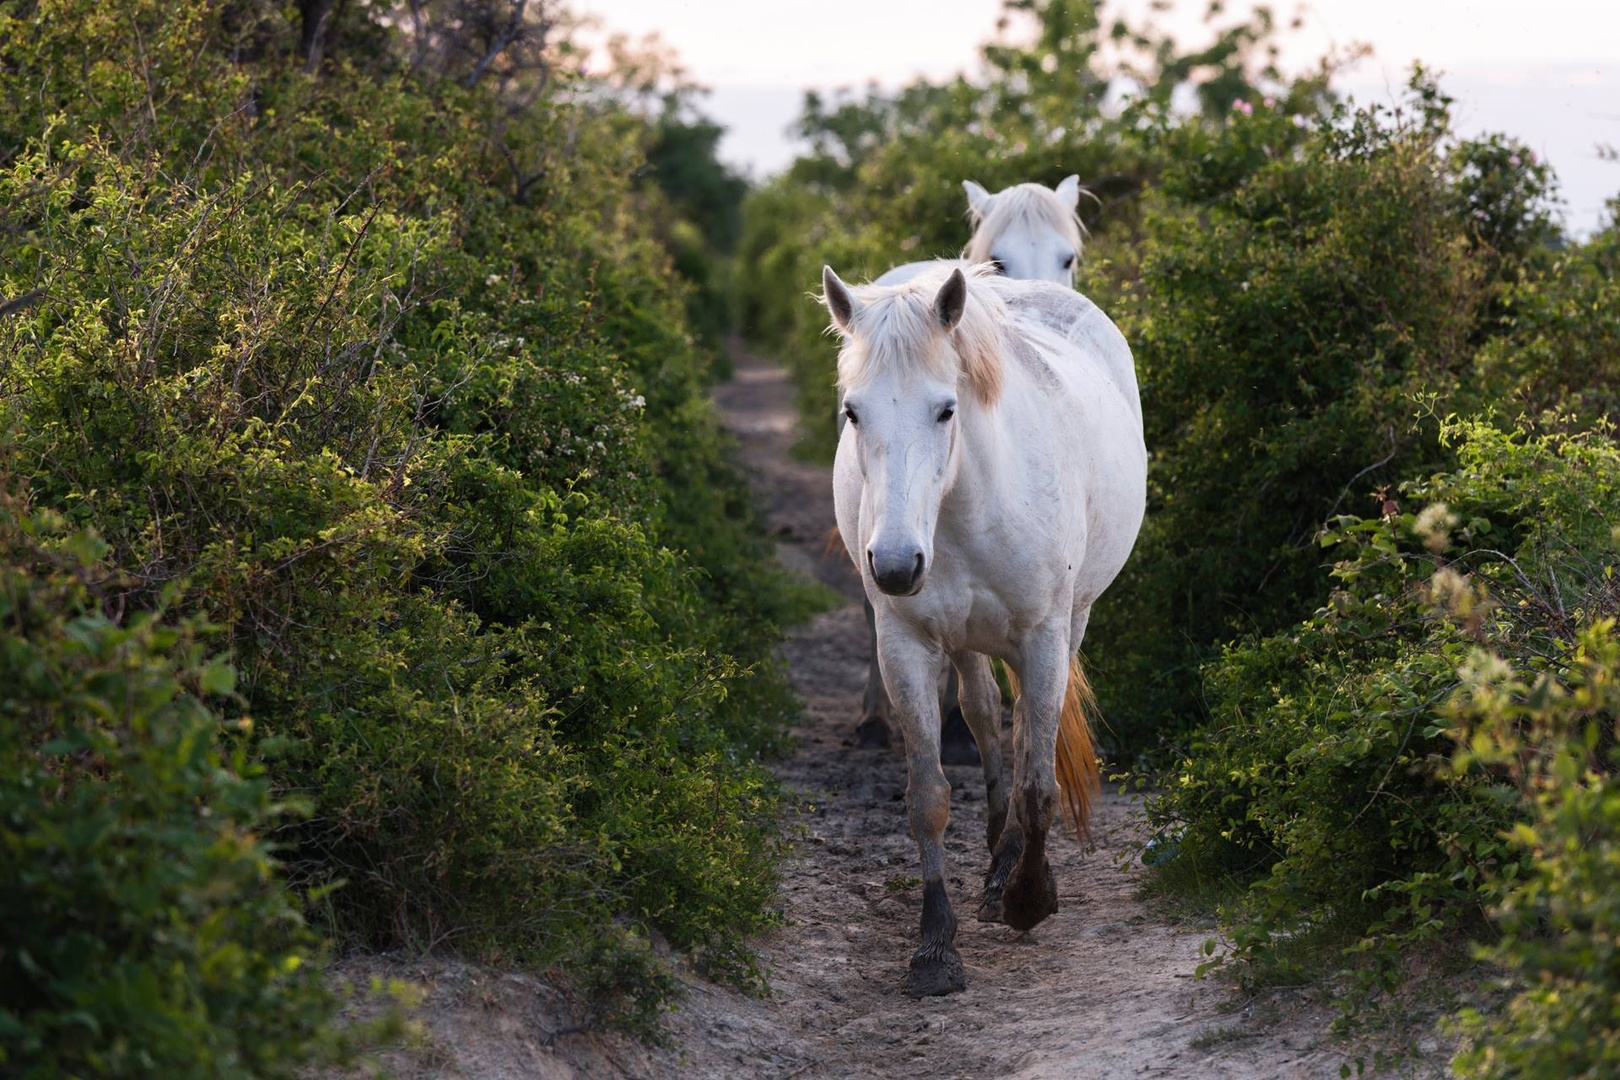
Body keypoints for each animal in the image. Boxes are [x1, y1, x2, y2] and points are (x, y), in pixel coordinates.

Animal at [820, 261, 1144, 998]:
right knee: (982, 710)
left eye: (947, 409)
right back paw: (998, 863)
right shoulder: (905, 646)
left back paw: (1014, 875)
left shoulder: (1044, 637)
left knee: (1023, 729)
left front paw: (1030, 897)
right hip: (964, 641)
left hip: (1071, 620)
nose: (894, 564)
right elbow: (928, 797)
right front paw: (935, 946)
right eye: (854, 412)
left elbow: (1038, 782)